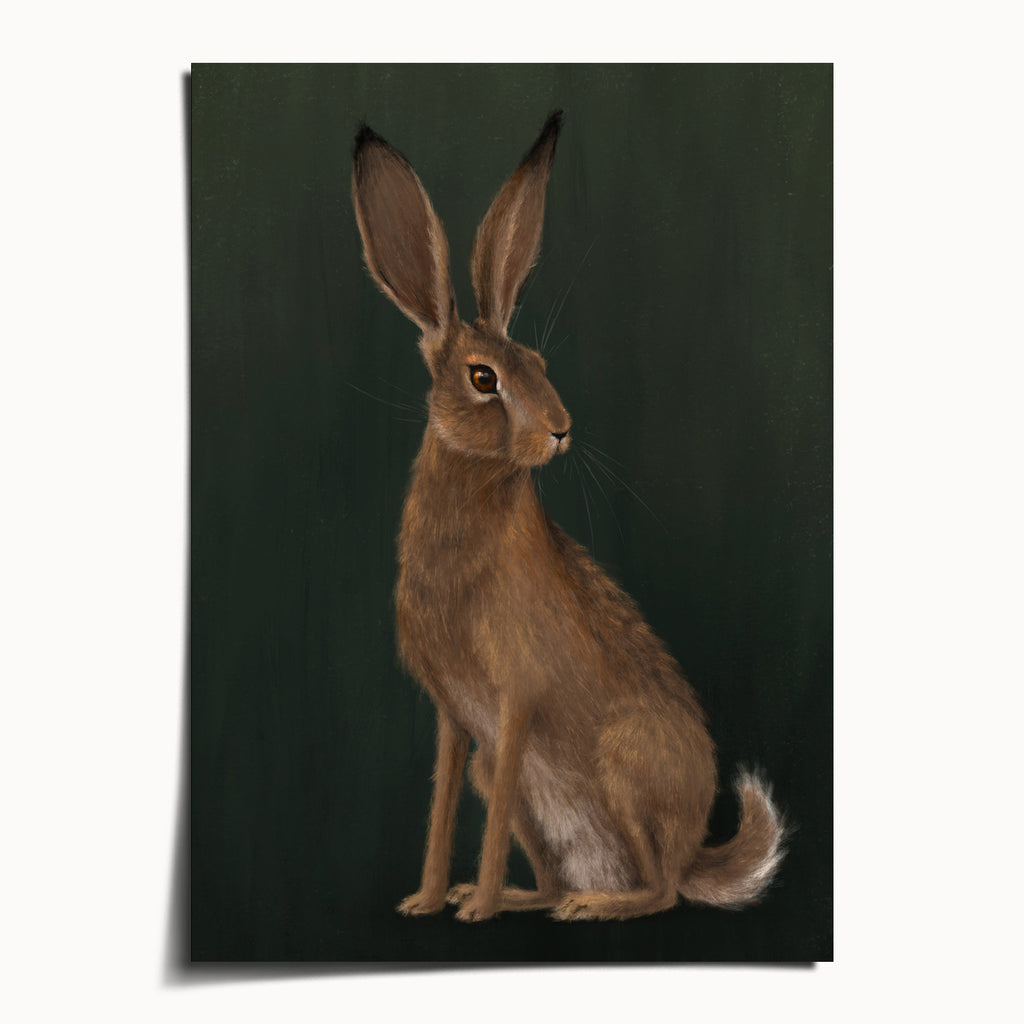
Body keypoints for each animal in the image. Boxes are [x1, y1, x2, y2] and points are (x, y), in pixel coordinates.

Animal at [351, 111, 786, 922]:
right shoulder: (459, 722)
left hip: (624, 762)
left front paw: (474, 910)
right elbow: (443, 806)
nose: (560, 429)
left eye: (541, 364)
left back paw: (593, 905)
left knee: (661, 892)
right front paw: (429, 900)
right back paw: (529, 897)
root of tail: (693, 851)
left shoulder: (515, 699)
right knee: (559, 870)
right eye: (483, 377)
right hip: (523, 781)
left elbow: (484, 817)